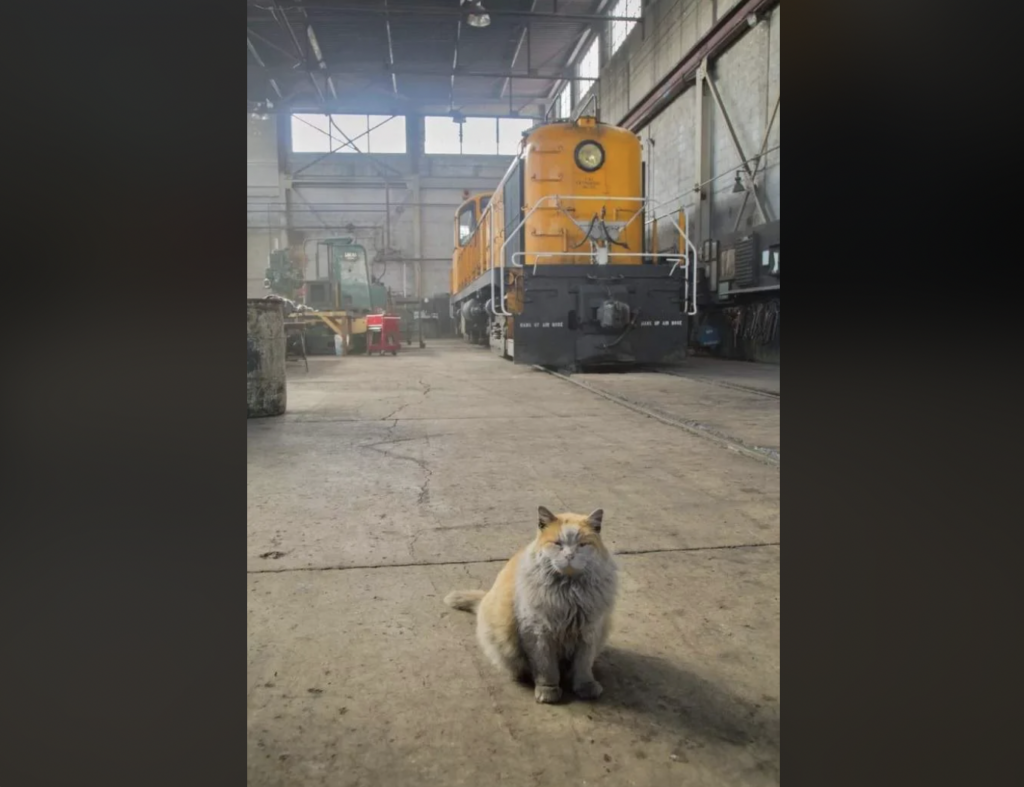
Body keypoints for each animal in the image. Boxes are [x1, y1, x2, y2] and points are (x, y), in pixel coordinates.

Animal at [442, 507, 614, 704]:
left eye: (582, 545)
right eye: (557, 544)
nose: (569, 556)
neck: (568, 592)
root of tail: (486, 597)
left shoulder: (590, 631)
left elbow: (583, 665)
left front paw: (586, 686)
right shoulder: (537, 632)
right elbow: (546, 667)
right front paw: (548, 690)